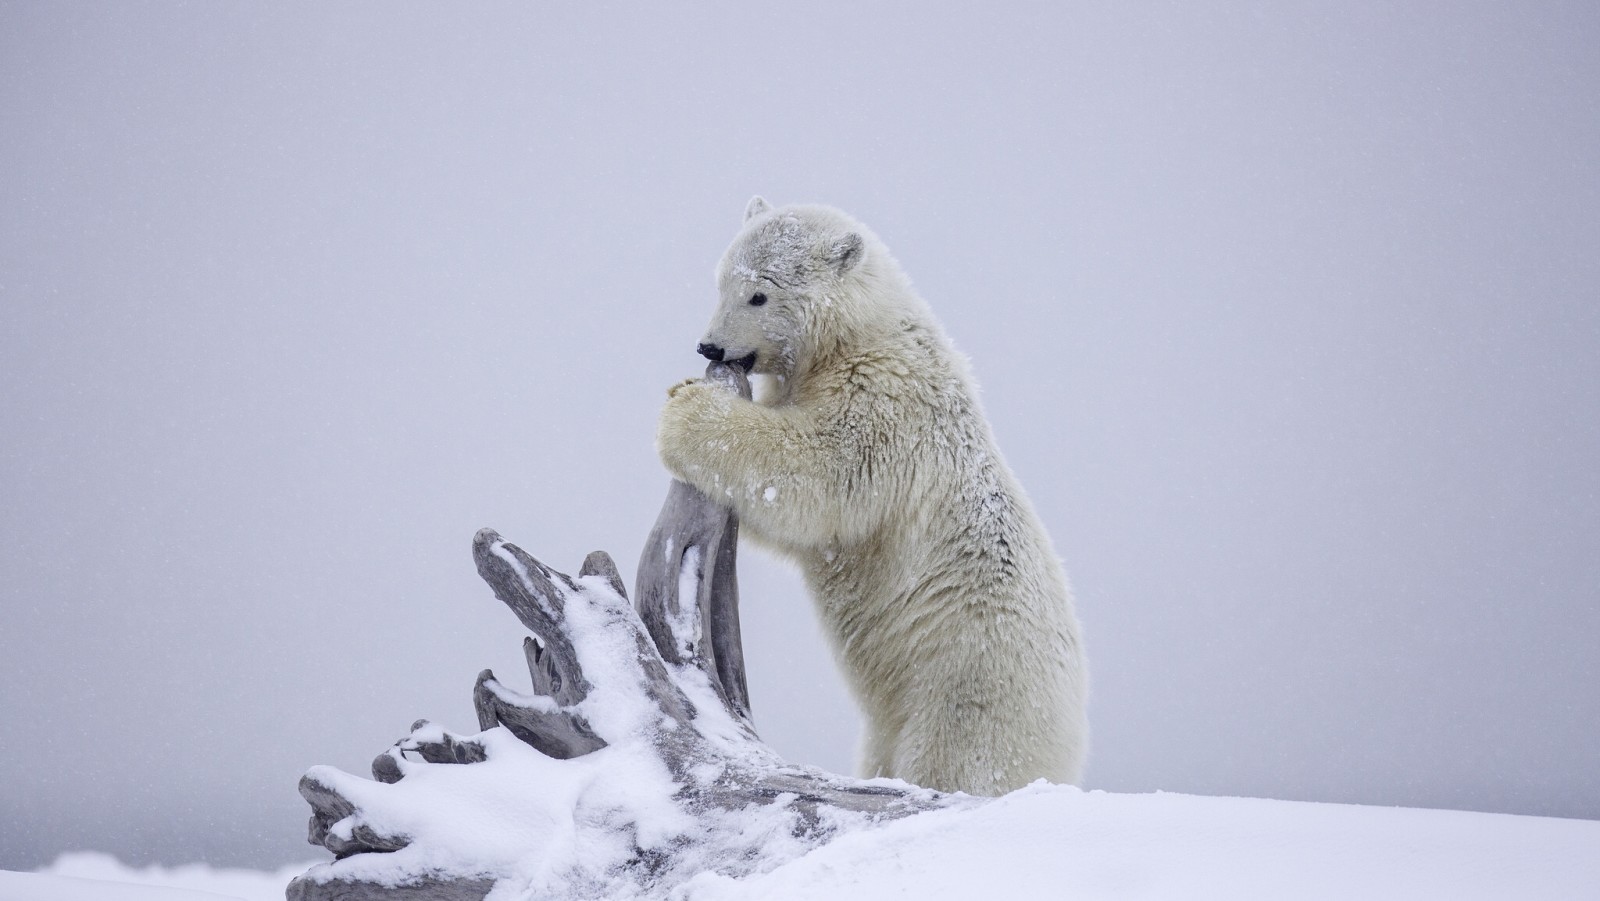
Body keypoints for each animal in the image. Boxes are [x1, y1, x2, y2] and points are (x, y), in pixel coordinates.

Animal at [656, 199, 1094, 796]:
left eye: (759, 294)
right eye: (721, 281)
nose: (709, 346)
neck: (859, 334)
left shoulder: (885, 401)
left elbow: (817, 475)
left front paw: (686, 411)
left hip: (967, 687)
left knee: (955, 761)